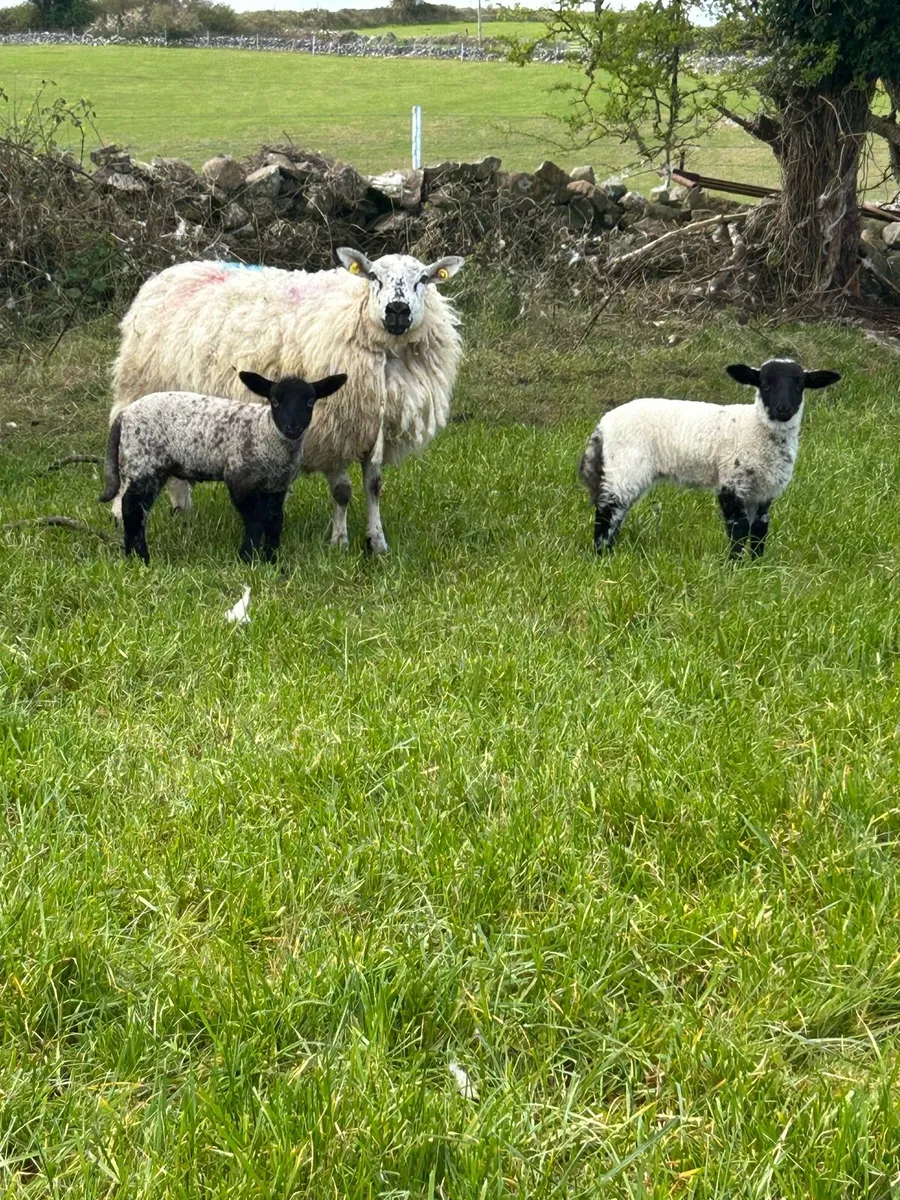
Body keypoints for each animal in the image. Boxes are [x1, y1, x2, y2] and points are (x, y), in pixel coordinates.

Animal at [99, 370, 347, 564]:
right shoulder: (240, 479)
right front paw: (248, 558)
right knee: (131, 508)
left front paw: (272, 559)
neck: (265, 432)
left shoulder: (277, 486)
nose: (292, 428)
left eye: (310, 402)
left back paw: (133, 556)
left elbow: (274, 521)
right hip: (143, 462)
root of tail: (124, 416)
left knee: (137, 509)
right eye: (275, 401)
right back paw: (140, 558)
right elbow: (255, 521)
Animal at [579, 358, 841, 558]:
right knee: (607, 510)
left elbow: (760, 527)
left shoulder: (764, 489)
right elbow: (739, 527)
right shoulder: (731, 481)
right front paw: (735, 566)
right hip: (626, 464)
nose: (784, 409)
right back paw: (601, 554)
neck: (754, 428)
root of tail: (603, 425)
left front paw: (757, 565)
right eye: (765, 385)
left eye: (800, 386)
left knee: (617, 512)